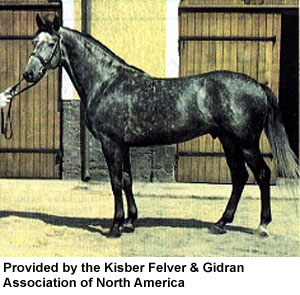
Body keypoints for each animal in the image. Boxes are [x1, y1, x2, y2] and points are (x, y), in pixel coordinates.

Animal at [22, 15, 298, 238]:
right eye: (33, 42)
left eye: (51, 43)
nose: (28, 74)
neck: (106, 82)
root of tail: (258, 86)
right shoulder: (124, 145)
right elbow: (127, 179)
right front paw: (130, 222)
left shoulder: (110, 143)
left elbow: (115, 182)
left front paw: (115, 227)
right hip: (228, 141)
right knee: (239, 177)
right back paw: (220, 223)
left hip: (246, 142)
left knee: (261, 174)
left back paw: (262, 226)